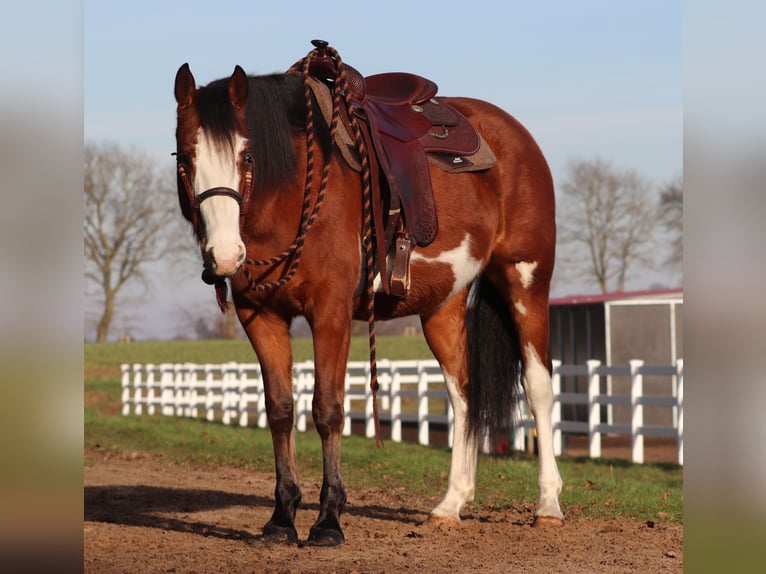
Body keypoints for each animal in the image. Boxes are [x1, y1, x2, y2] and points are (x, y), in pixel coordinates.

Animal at [173, 42, 563, 546]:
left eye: (247, 156)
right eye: (185, 158)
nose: (223, 255)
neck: (291, 192)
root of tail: (516, 135)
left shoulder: (331, 312)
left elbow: (327, 409)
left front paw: (328, 520)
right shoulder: (259, 315)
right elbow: (280, 410)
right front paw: (282, 517)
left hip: (526, 283)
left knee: (538, 387)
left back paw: (548, 505)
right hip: (444, 306)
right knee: (462, 394)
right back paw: (450, 504)